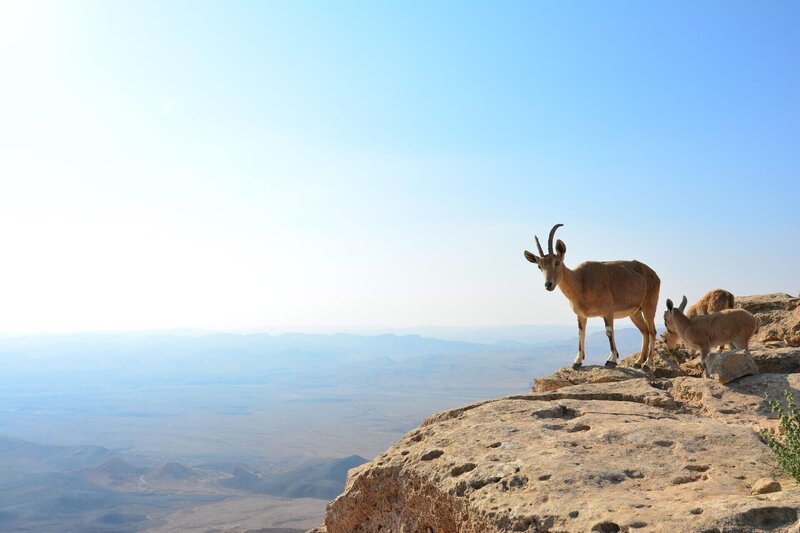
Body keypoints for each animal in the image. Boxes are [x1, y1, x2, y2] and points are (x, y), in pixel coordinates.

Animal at [524, 224, 661, 370]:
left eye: (557, 262)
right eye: (539, 266)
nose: (548, 284)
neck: (581, 282)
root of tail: (655, 275)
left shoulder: (608, 311)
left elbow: (609, 332)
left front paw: (612, 360)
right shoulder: (581, 315)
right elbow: (581, 333)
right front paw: (577, 361)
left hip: (649, 306)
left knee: (652, 331)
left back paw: (647, 363)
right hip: (635, 312)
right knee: (645, 331)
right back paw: (638, 362)